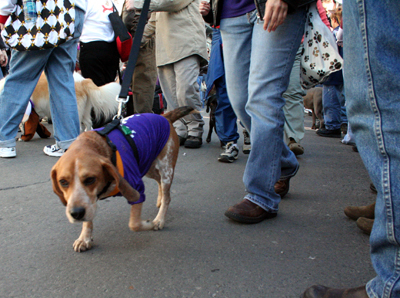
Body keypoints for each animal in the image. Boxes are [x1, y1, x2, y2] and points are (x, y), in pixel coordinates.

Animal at [50, 106, 198, 251]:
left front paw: (150, 224)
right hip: (148, 166)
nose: (76, 213)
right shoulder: (88, 201)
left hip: (166, 169)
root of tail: (164, 116)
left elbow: (134, 224)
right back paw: (160, 200)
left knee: (167, 195)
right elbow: (88, 219)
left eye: (90, 179)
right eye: (63, 182)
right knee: (158, 182)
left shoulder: (136, 189)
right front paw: (84, 238)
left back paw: (160, 219)